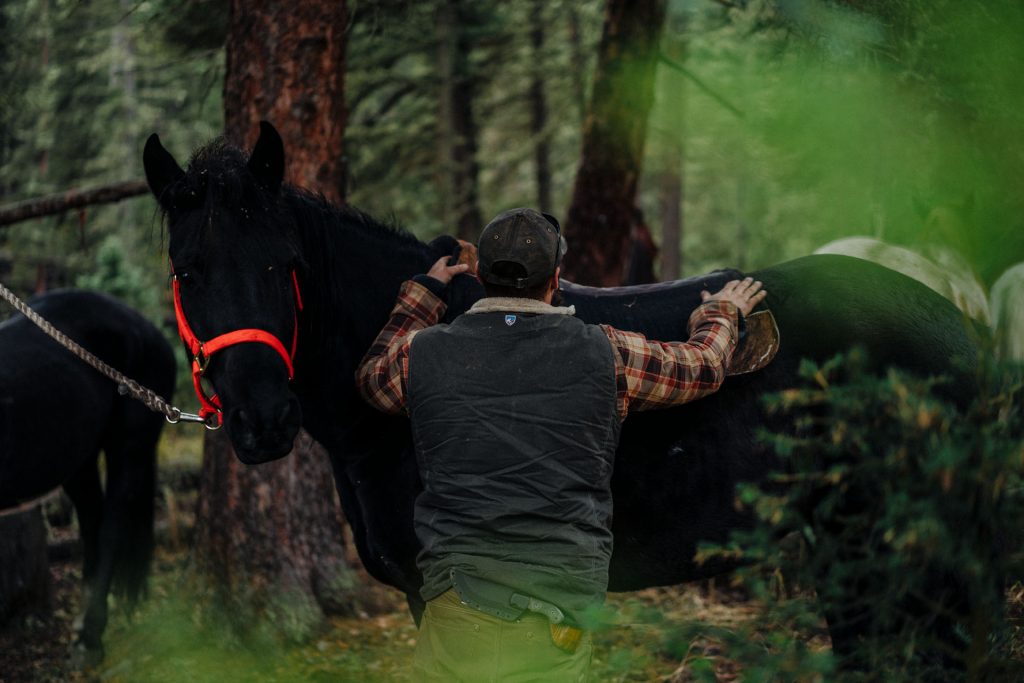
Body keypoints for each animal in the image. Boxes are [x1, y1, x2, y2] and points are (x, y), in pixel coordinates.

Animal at [0, 290, 175, 663]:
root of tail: (149, 328)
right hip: (79, 460)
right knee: (92, 523)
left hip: (129, 447)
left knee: (110, 528)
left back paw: (90, 638)